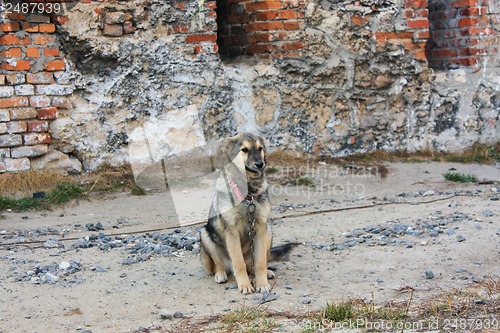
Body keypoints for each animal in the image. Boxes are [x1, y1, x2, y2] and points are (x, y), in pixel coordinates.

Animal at [199, 132, 292, 294]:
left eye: (260, 148)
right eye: (244, 150)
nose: (260, 164)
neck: (248, 194)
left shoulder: (261, 226)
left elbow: (260, 262)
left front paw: (262, 283)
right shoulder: (231, 230)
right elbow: (239, 263)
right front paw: (244, 285)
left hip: (269, 232)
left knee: (255, 264)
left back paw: (265, 272)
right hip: (205, 235)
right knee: (220, 264)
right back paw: (220, 274)